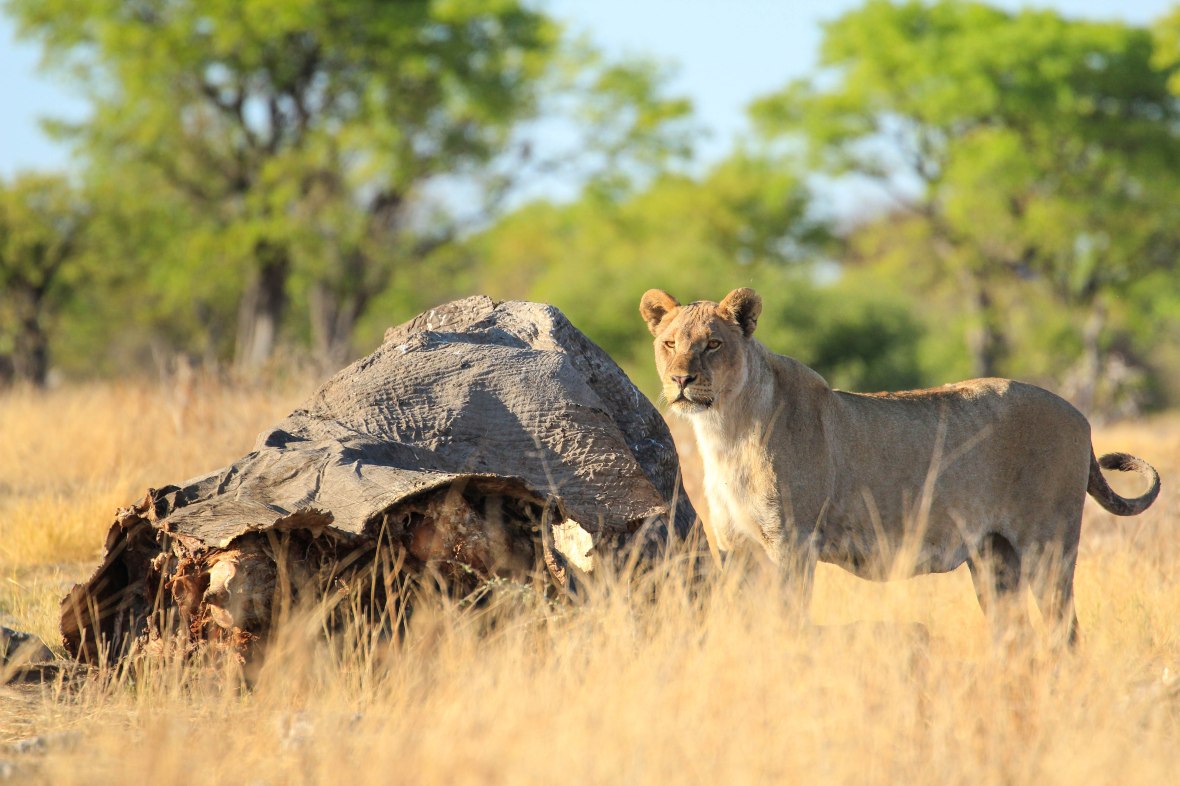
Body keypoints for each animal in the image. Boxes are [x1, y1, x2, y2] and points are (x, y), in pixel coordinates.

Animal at [640, 287, 1160, 643]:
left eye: (712, 344)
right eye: (669, 343)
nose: (681, 380)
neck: (725, 430)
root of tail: (1081, 416)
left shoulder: (793, 542)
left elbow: (789, 618)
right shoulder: (736, 547)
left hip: (1047, 545)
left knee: (1064, 632)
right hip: (993, 556)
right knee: (1014, 636)